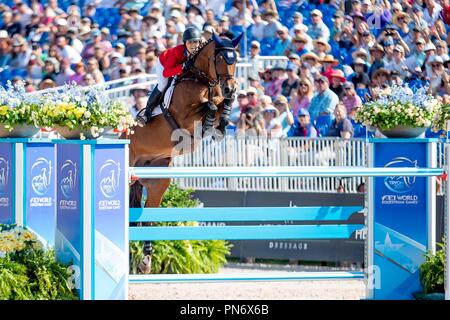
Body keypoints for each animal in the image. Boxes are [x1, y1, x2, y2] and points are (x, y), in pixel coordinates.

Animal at [126, 33, 243, 272]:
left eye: (235, 59)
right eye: (220, 59)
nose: (230, 87)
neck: (201, 79)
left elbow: (221, 104)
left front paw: (222, 123)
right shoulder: (185, 116)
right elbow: (210, 106)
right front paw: (213, 119)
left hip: (157, 180)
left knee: (147, 218)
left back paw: (145, 262)